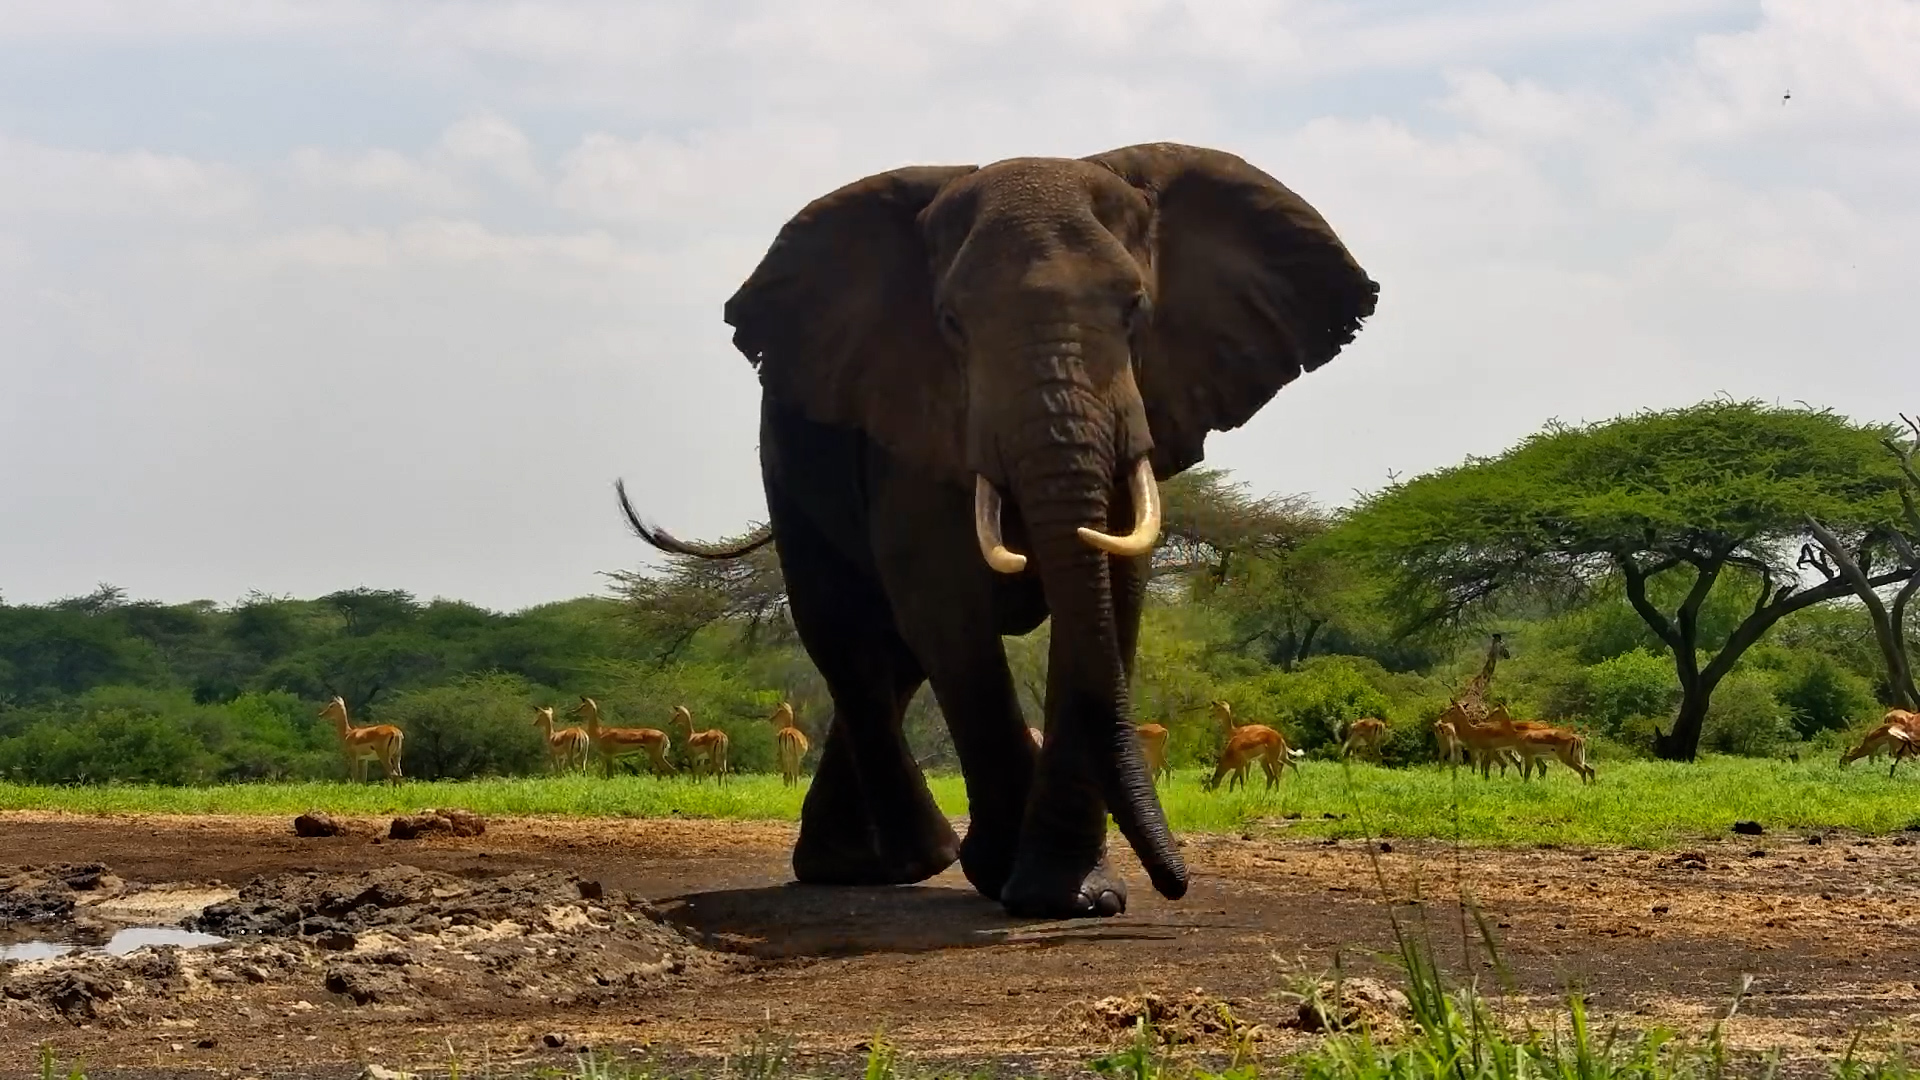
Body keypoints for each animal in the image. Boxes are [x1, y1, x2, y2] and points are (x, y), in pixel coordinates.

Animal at [616, 142, 1378, 919]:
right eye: (951, 322)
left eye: (1136, 308)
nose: (1175, 883)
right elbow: (947, 603)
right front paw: (1035, 886)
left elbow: (1112, 592)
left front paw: (1073, 896)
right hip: (790, 461)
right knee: (845, 631)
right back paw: (906, 861)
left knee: (893, 654)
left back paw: (864, 865)